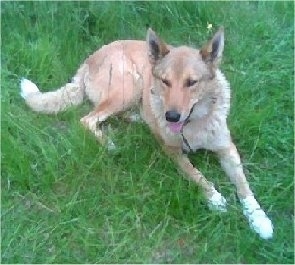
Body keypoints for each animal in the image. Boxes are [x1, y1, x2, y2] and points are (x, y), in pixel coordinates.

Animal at [20, 27, 276, 238]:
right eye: (165, 81)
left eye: (192, 82)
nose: (171, 116)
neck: (193, 124)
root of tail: (90, 58)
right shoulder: (173, 152)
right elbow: (197, 175)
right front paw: (215, 198)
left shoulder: (226, 148)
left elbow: (244, 186)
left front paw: (259, 219)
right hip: (129, 86)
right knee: (88, 119)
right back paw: (110, 143)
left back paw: (138, 118)